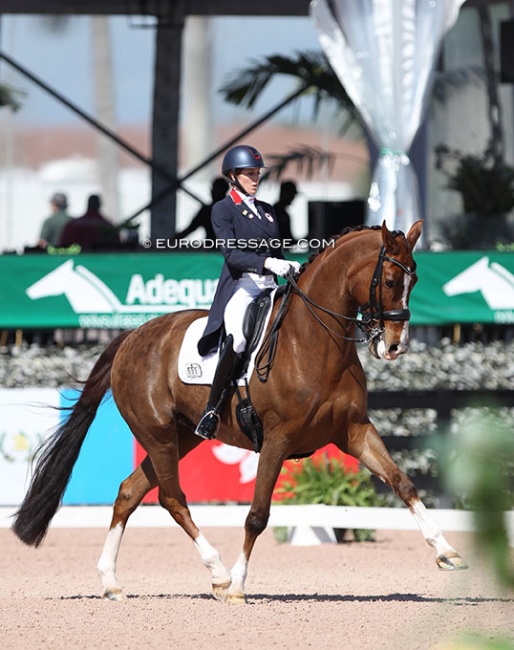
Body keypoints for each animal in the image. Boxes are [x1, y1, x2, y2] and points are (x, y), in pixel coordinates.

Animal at [10, 220, 466, 600]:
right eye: (389, 279)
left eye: (415, 279)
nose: (394, 345)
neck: (314, 342)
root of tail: (132, 336)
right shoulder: (278, 439)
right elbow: (257, 516)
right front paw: (239, 585)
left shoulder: (354, 431)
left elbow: (403, 483)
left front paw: (447, 551)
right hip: (157, 434)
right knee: (172, 498)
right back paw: (217, 574)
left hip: (182, 437)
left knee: (128, 492)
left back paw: (111, 582)